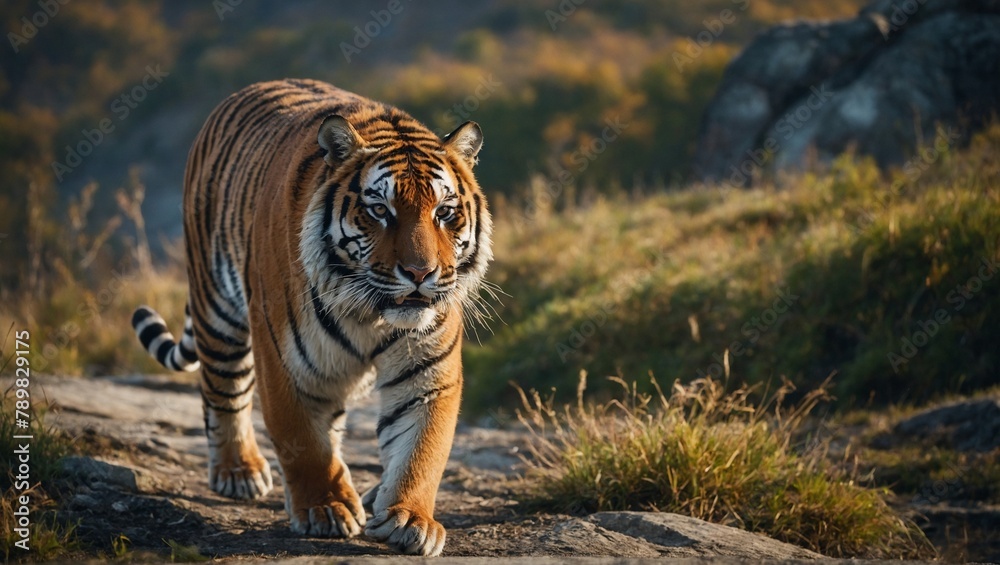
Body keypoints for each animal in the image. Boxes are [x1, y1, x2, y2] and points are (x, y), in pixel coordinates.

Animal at [131, 78, 492, 556]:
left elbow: (422, 446)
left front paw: (409, 518)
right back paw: (238, 470)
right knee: (223, 393)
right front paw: (326, 509)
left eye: (445, 212)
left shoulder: (427, 370)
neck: (372, 314)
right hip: (217, 310)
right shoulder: (283, 359)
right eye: (380, 210)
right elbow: (302, 439)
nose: (420, 274)